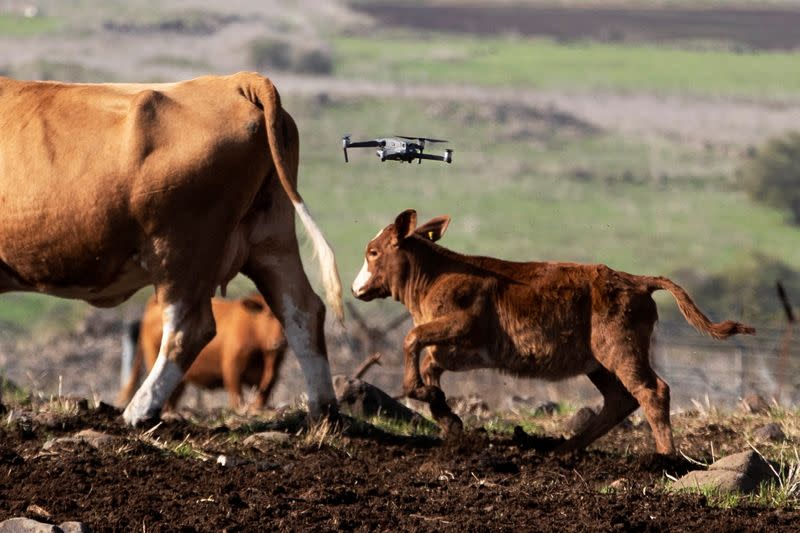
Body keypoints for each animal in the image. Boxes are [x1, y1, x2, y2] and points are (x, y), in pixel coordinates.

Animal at [119, 294, 288, 410]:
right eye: (269, 315)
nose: (280, 342)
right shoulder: (232, 369)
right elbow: (237, 398)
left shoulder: (272, 374)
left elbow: (263, 394)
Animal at [352, 208, 756, 454]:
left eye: (373, 252)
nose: (357, 288)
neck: (434, 277)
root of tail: (636, 280)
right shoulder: (459, 347)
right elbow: (430, 363)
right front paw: (446, 416)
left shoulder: (460, 323)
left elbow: (411, 340)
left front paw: (423, 393)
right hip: (598, 361)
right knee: (620, 399)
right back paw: (566, 448)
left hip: (620, 349)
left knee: (652, 391)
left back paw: (664, 458)